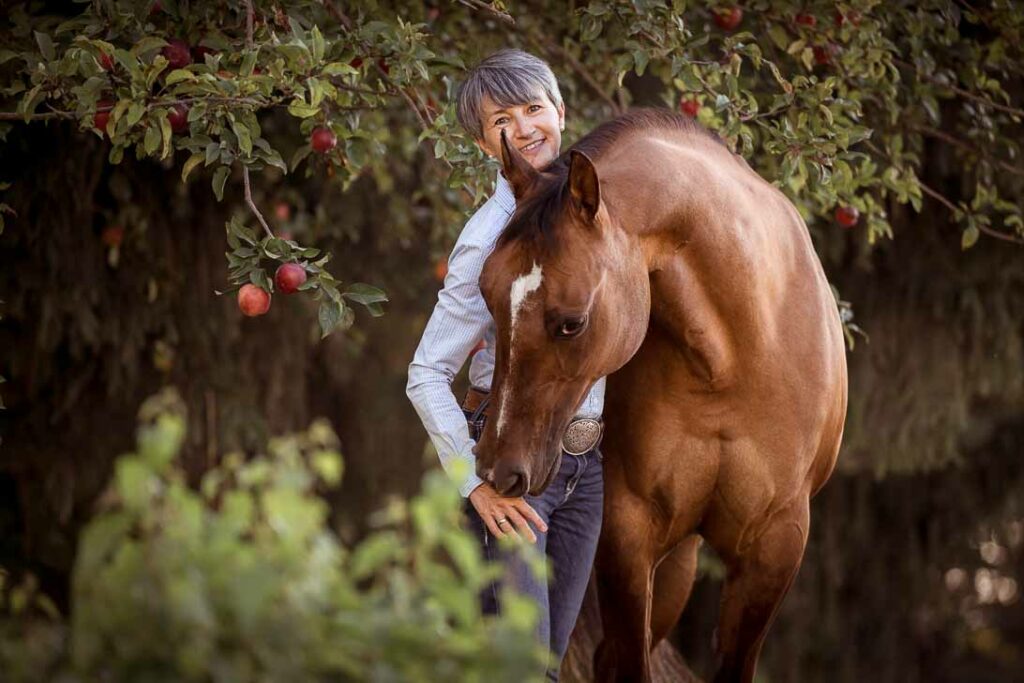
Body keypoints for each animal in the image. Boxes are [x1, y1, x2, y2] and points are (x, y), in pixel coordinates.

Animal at [471, 109, 847, 683]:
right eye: (486, 295)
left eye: (572, 323)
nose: (496, 471)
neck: (732, 360)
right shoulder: (628, 531)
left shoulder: (776, 544)